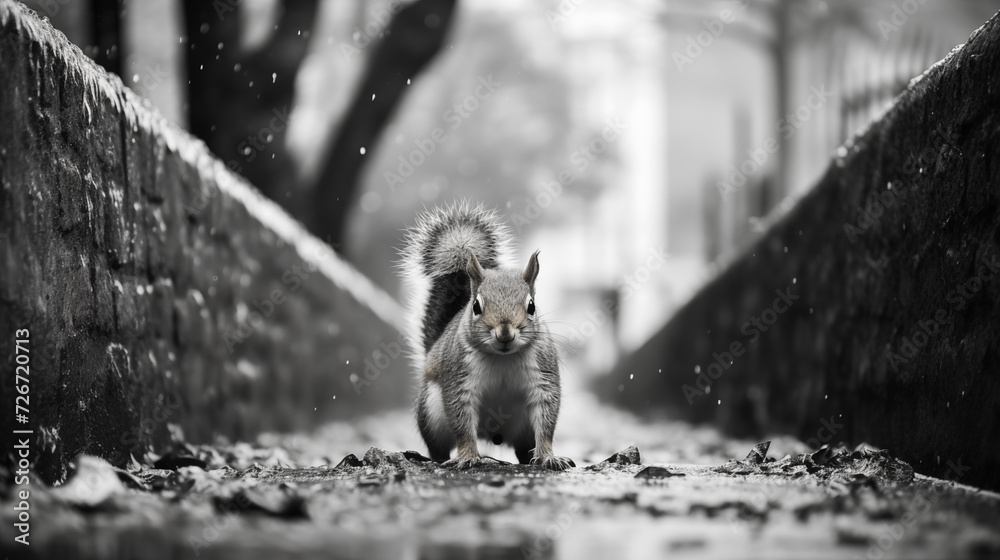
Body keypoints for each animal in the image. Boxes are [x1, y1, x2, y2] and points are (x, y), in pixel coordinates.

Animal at [399, 201, 574, 470]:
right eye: (476, 306)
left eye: (532, 306)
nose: (505, 333)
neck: (502, 357)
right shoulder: (459, 380)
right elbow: (462, 424)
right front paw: (468, 457)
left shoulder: (543, 378)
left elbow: (546, 423)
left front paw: (548, 456)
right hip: (431, 414)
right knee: (438, 446)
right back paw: (437, 459)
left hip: (523, 428)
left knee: (524, 449)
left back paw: (529, 457)